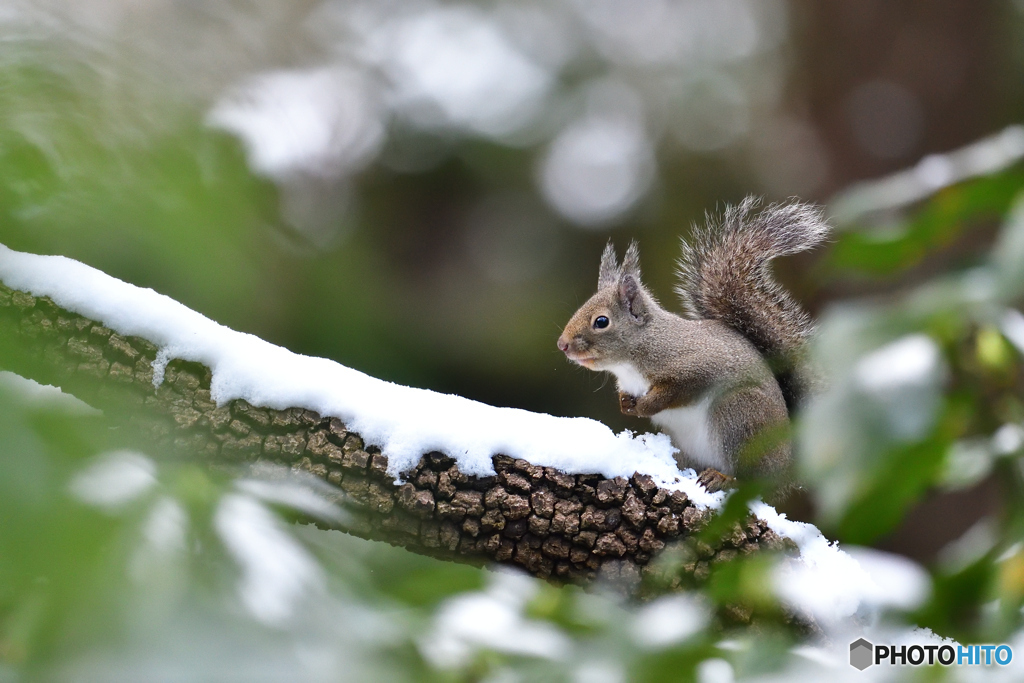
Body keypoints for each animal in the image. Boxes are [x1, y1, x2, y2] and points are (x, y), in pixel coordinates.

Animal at [557, 194, 827, 493]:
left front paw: (644, 407)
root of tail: (787, 469)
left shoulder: (696, 367)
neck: (632, 359)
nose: (562, 344)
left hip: (739, 417)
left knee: (748, 479)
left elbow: (676, 391)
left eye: (601, 321)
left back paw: (723, 478)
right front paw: (625, 403)